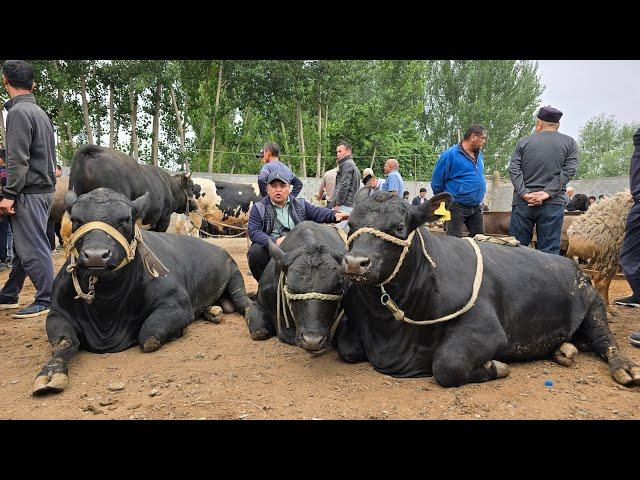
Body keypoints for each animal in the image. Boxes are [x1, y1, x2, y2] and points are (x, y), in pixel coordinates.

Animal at [33, 189, 250, 396]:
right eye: (77, 220)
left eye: (125, 220)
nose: (96, 255)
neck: (105, 310)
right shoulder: (57, 313)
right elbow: (64, 342)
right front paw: (50, 373)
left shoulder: (177, 303)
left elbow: (149, 336)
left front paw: (177, 332)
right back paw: (212, 310)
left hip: (234, 273)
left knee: (243, 301)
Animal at [336, 189, 640, 388]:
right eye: (351, 224)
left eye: (399, 226)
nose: (355, 263)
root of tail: (570, 263)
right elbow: (346, 348)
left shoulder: (486, 328)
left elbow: (447, 364)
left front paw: (496, 366)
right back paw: (563, 349)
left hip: (593, 304)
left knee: (605, 339)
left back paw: (625, 368)